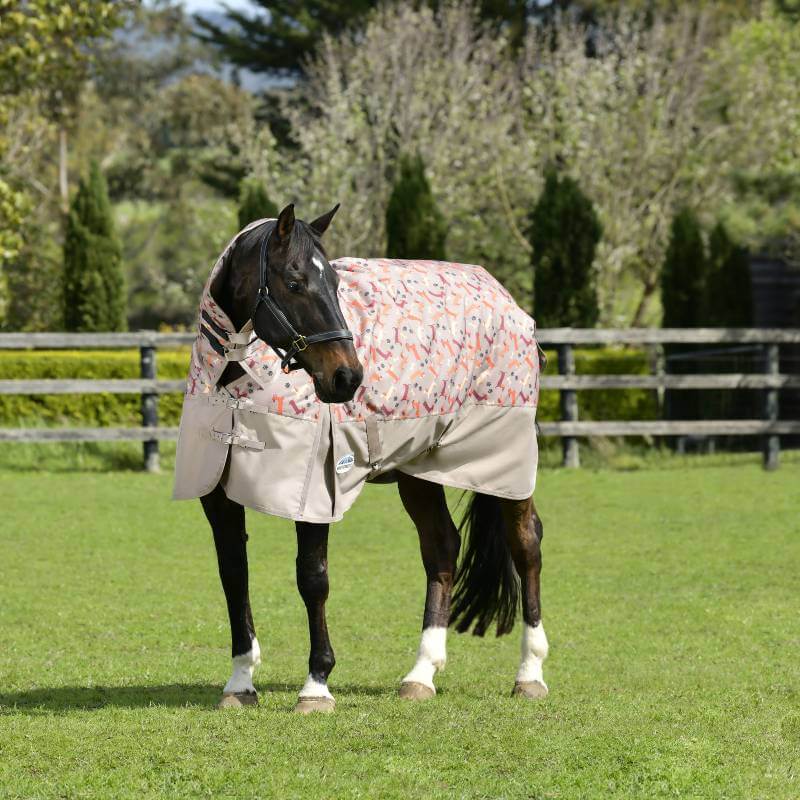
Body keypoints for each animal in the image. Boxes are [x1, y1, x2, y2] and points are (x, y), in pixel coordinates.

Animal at [174, 203, 548, 712]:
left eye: (334, 283)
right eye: (295, 282)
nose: (347, 377)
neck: (236, 382)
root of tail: (507, 302)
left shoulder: (312, 494)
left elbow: (312, 579)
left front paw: (316, 685)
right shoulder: (217, 494)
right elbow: (234, 575)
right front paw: (240, 683)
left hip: (508, 464)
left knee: (526, 544)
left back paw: (530, 674)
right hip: (419, 472)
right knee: (442, 548)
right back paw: (421, 674)